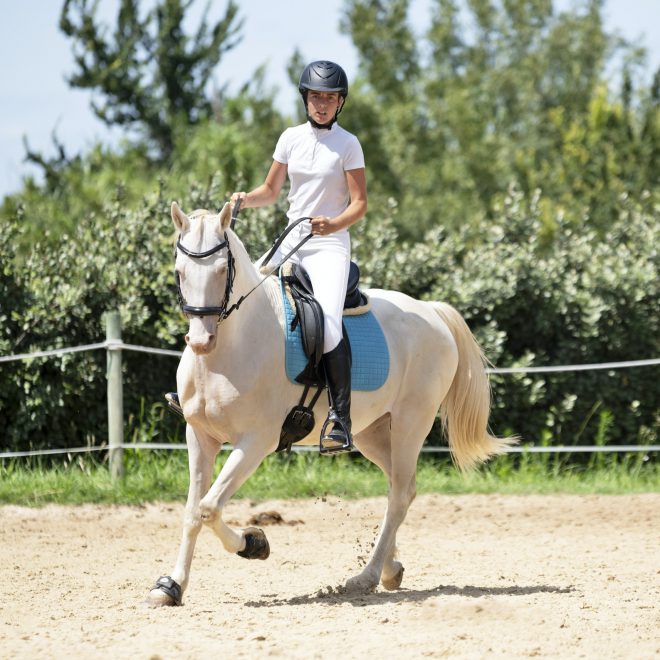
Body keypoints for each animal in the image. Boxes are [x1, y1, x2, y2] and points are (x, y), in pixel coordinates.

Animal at [147, 201, 515, 606]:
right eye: (180, 273)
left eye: (221, 271)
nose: (201, 341)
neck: (232, 348)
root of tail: (432, 312)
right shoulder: (200, 436)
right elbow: (192, 511)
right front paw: (171, 585)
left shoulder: (255, 442)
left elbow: (209, 508)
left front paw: (255, 543)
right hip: (372, 432)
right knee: (399, 486)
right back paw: (390, 568)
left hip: (411, 422)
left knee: (401, 492)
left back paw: (366, 577)